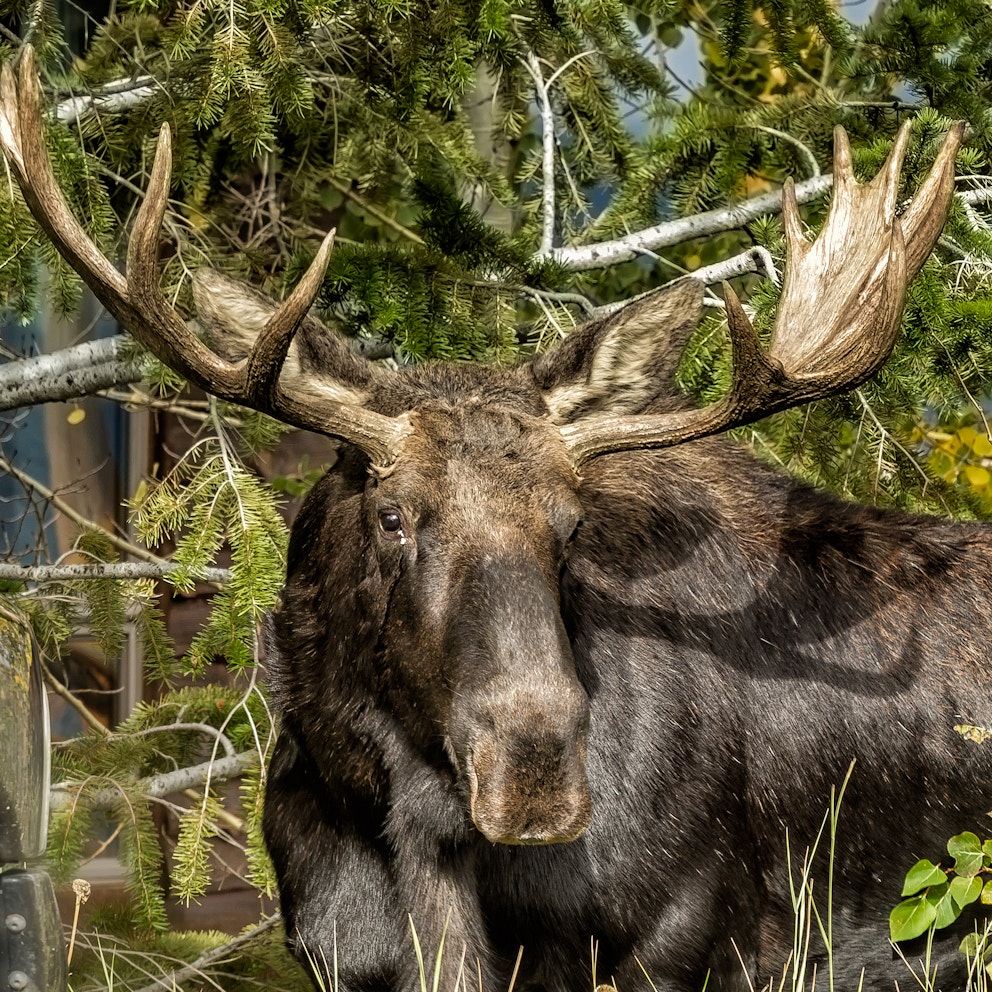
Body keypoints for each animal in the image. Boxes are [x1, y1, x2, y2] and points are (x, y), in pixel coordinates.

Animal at [1, 44, 989, 992]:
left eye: (572, 527)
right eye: (392, 517)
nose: (535, 774)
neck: (410, 839)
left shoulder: (694, 945)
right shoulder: (334, 952)